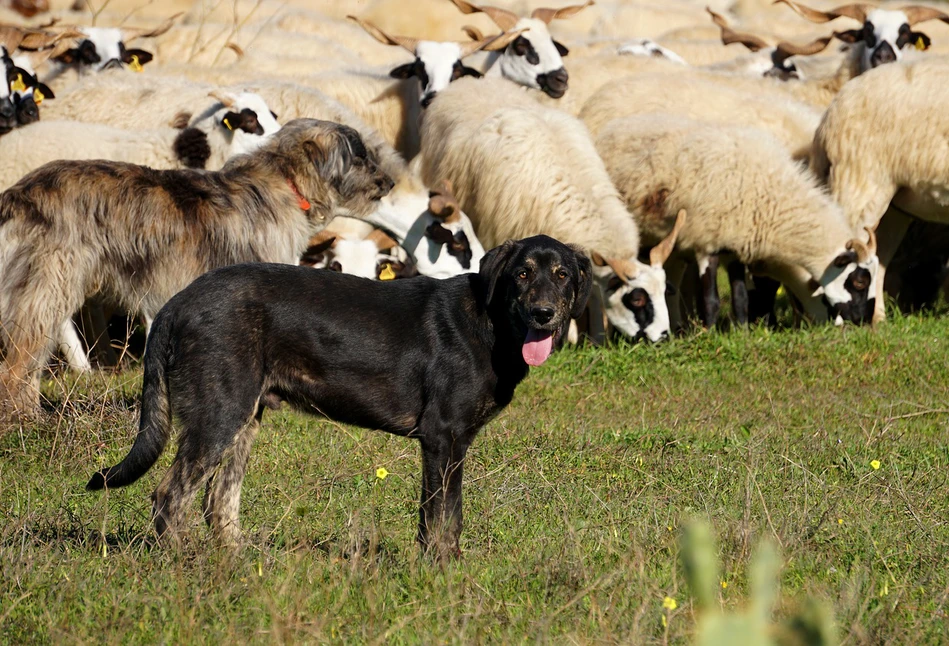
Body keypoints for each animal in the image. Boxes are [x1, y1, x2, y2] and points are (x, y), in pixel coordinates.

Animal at [90, 235, 592, 560]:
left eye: (562, 275)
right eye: (522, 273)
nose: (544, 314)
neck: (491, 324)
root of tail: (178, 302)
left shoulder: (450, 443)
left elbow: (443, 517)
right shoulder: (442, 438)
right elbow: (441, 519)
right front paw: (441, 575)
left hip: (243, 420)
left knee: (219, 502)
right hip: (219, 416)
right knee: (169, 496)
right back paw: (183, 565)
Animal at [596, 113, 876, 330]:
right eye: (860, 281)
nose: (863, 321)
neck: (772, 198)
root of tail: (613, 126)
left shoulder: (736, 247)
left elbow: (741, 299)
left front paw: (742, 333)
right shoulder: (706, 244)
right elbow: (710, 300)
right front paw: (709, 334)